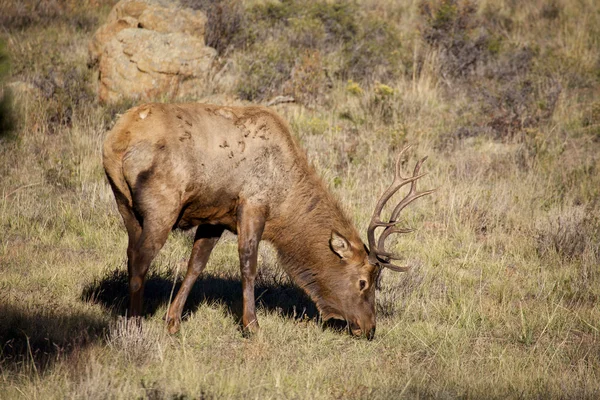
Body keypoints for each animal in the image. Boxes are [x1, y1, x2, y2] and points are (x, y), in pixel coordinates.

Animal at [103, 102, 432, 338]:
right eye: (363, 282)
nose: (369, 328)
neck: (285, 202)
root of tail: (116, 143)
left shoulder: (214, 217)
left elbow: (196, 264)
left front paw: (173, 322)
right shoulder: (254, 203)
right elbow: (248, 264)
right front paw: (252, 325)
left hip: (123, 203)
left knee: (130, 253)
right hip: (162, 205)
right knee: (141, 258)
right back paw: (134, 325)